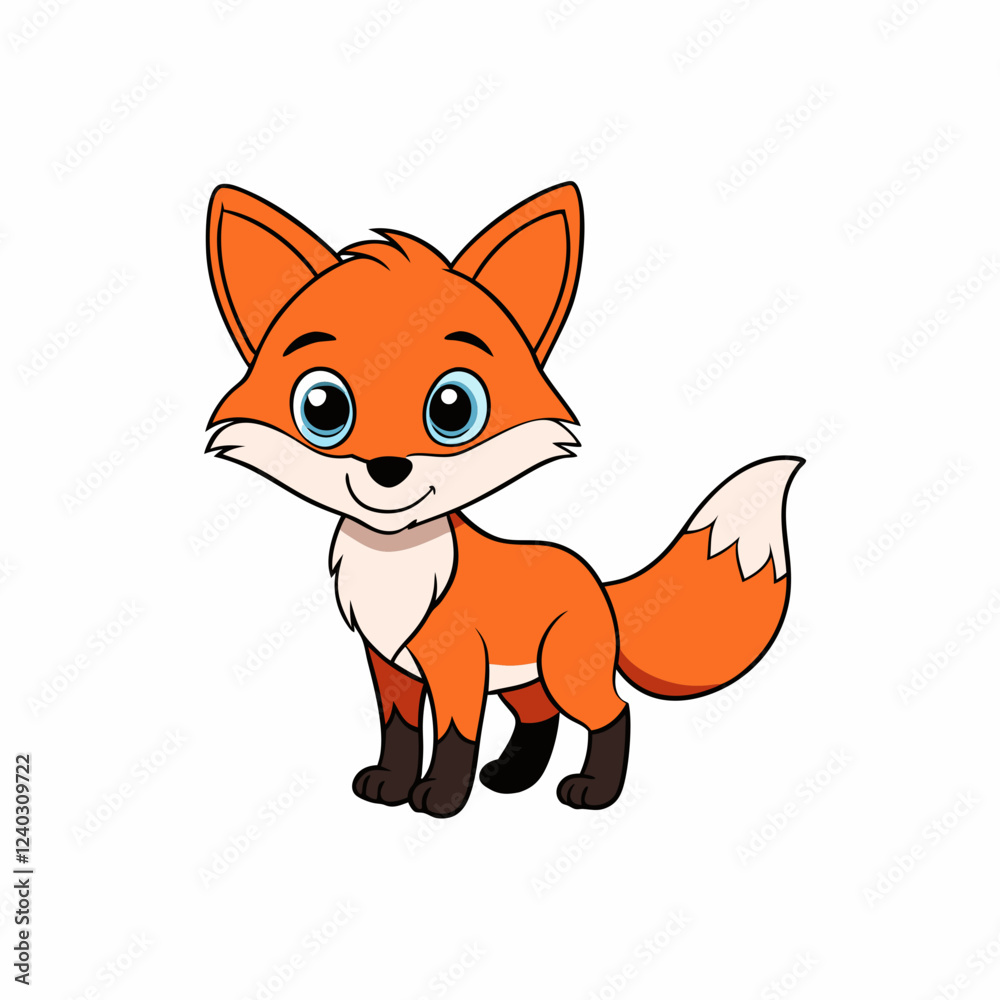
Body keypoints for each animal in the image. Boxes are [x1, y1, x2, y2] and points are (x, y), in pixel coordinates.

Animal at [204, 182, 802, 817]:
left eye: (453, 408)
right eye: (322, 407)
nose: (388, 469)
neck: (395, 568)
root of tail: (596, 581)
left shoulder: (457, 664)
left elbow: (453, 735)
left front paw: (440, 798)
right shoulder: (390, 666)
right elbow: (400, 732)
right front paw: (390, 785)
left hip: (565, 670)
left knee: (612, 713)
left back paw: (592, 791)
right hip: (524, 678)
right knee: (540, 717)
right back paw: (514, 776)